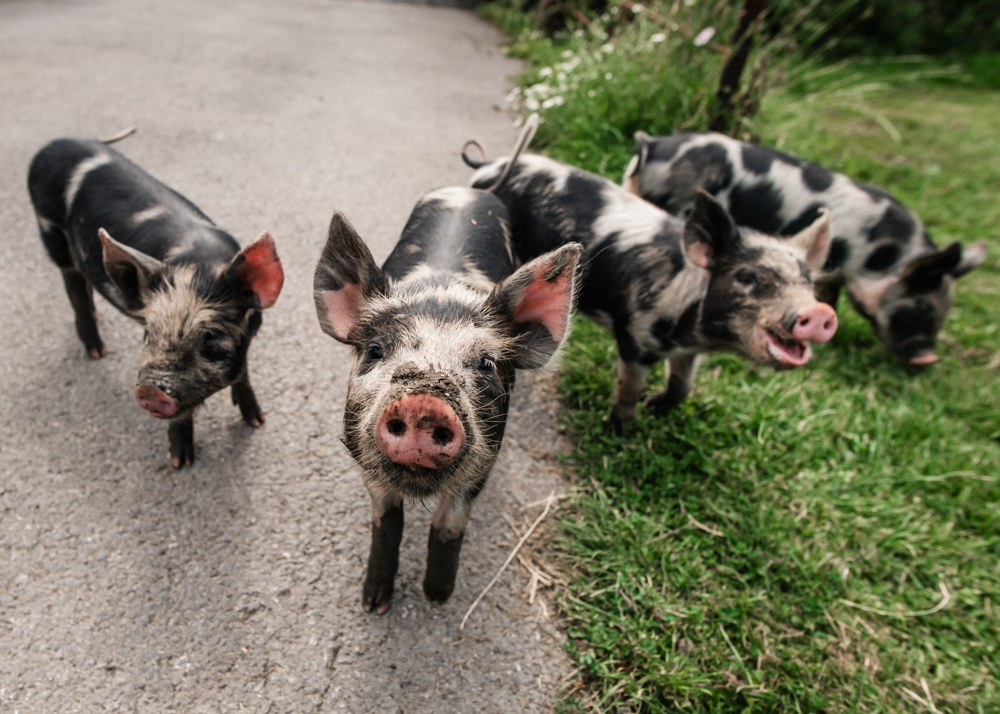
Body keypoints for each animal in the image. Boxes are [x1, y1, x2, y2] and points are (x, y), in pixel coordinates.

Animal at [28, 136, 284, 468]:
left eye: (211, 339)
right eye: (149, 333)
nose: (150, 389)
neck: (197, 264)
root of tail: (52, 145)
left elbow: (243, 371)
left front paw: (257, 421)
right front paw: (180, 463)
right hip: (51, 235)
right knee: (74, 289)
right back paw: (97, 352)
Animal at [313, 119, 581, 613]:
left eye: (487, 363)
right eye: (375, 351)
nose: (423, 402)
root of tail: (473, 189)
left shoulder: (486, 460)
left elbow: (449, 526)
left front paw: (437, 597)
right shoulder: (363, 459)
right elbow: (387, 522)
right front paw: (373, 603)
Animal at [464, 149, 837, 432]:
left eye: (808, 280)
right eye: (747, 277)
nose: (820, 312)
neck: (694, 330)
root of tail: (492, 165)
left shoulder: (688, 351)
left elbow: (682, 386)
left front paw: (656, 405)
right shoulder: (636, 334)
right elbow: (629, 386)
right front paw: (623, 428)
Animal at [623, 132, 988, 365]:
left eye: (946, 311)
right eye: (922, 307)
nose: (928, 358)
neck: (881, 255)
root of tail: (652, 145)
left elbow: (827, 296)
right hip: (680, 202)